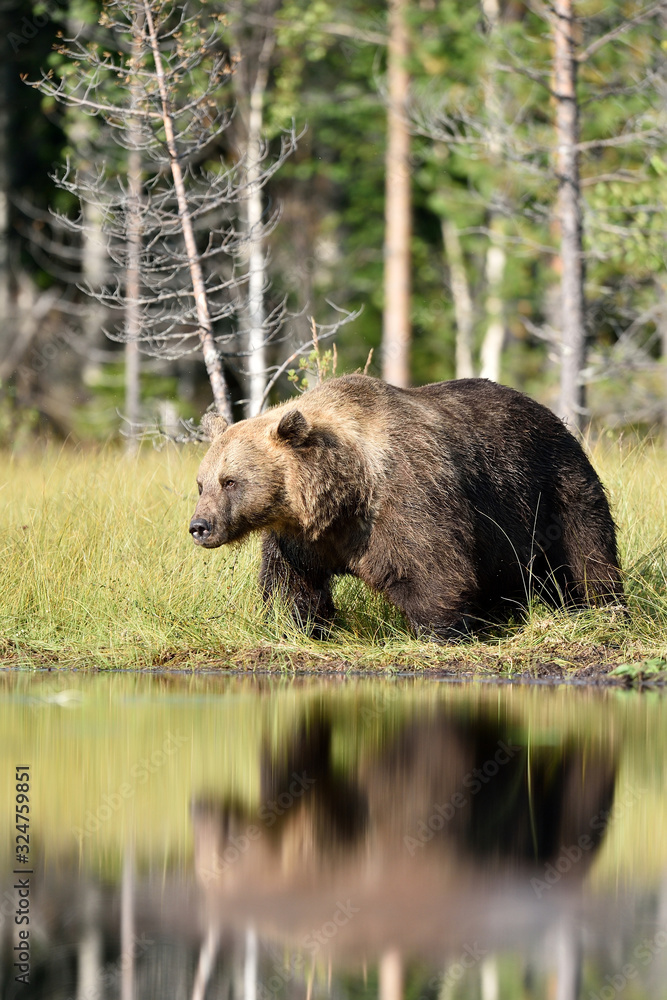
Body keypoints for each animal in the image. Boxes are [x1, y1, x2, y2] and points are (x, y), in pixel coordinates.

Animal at [189, 375, 624, 640]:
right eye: (201, 483)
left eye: (231, 481)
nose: (199, 526)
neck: (344, 493)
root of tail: (552, 416)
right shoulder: (299, 536)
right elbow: (290, 583)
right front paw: (297, 626)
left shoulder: (405, 498)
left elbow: (434, 570)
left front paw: (440, 631)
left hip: (554, 488)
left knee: (586, 554)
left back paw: (603, 607)